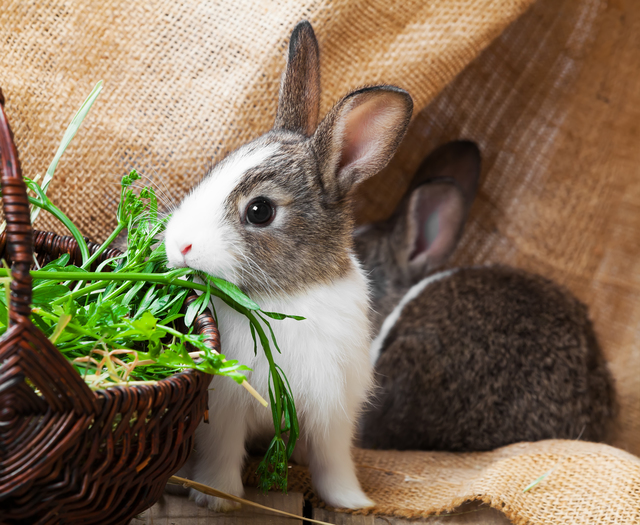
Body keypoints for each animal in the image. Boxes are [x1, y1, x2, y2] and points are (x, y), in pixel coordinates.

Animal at [165, 22, 412, 510]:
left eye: (259, 211)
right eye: (214, 169)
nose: (177, 245)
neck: (286, 296)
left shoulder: (333, 409)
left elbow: (332, 461)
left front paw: (352, 502)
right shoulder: (227, 407)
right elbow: (222, 451)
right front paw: (218, 498)